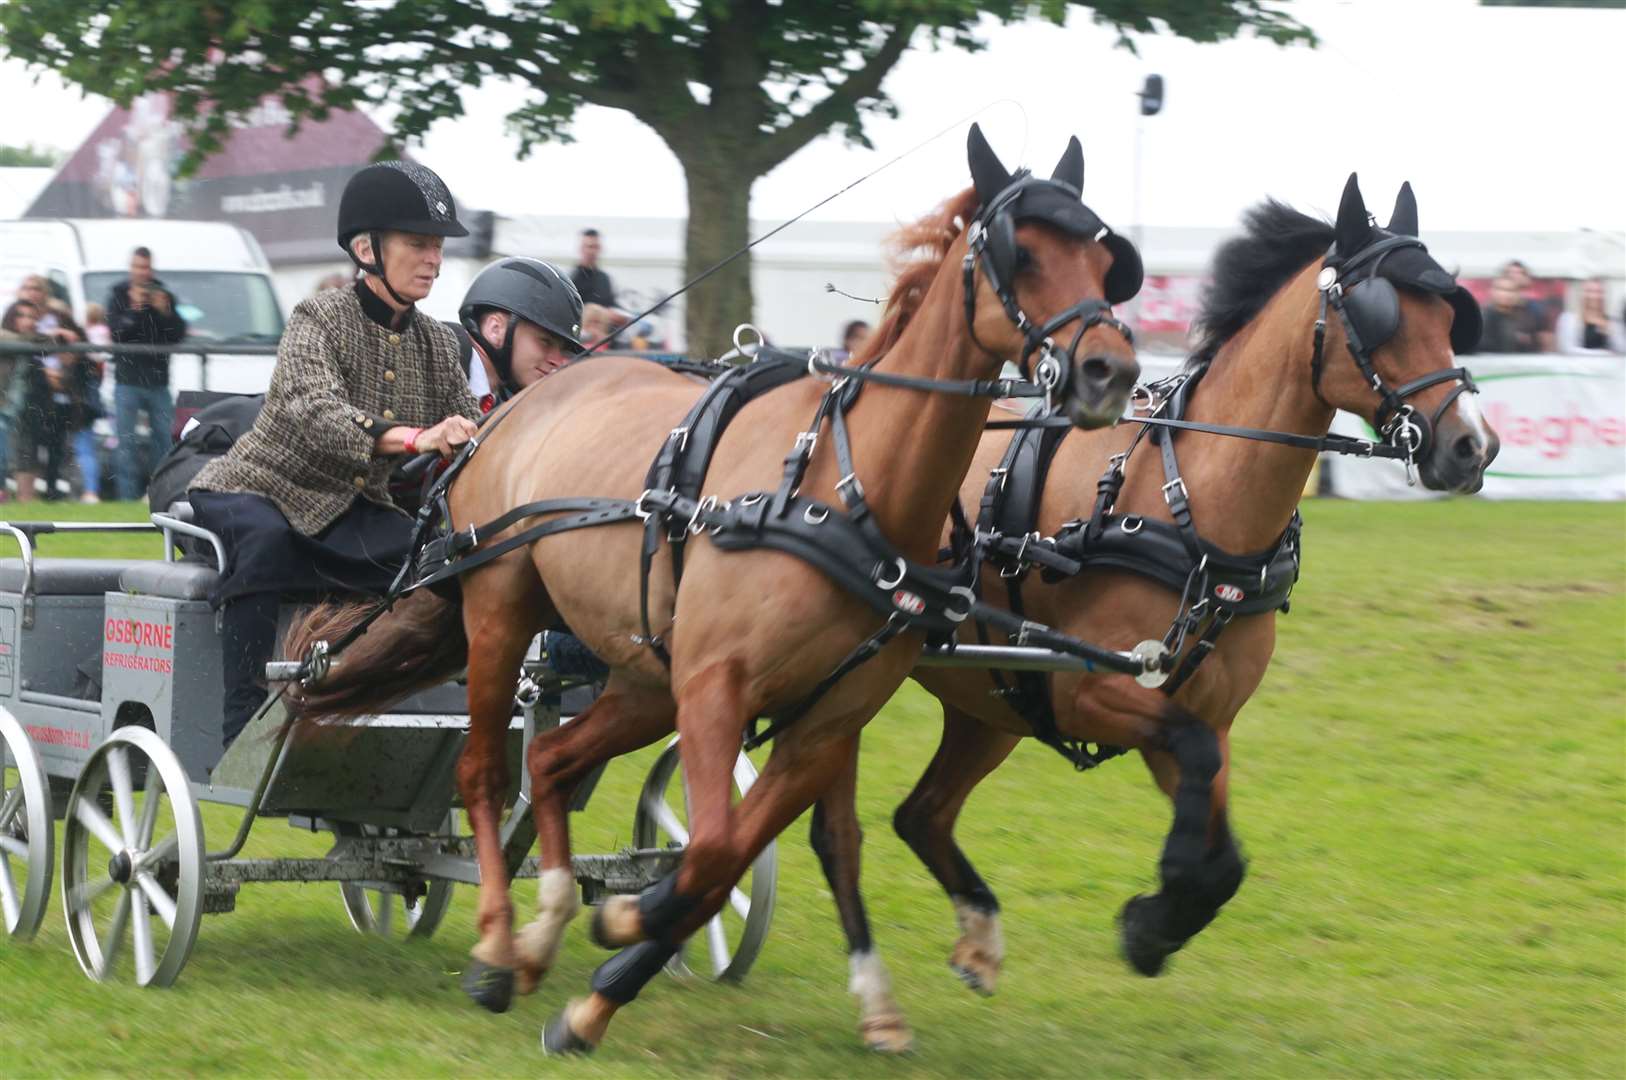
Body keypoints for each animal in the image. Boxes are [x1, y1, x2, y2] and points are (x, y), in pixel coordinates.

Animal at [282, 126, 1144, 1053]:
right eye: (1022, 255)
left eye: (1106, 263)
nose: (1111, 372)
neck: (843, 489)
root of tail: (498, 418)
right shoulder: (715, 687)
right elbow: (710, 851)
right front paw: (618, 936)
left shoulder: (823, 718)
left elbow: (730, 855)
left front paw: (607, 970)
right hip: (504, 611)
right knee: (483, 770)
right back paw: (497, 943)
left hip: (641, 674)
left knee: (548, 759)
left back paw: (544, 928)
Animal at [806, 177, 1502, 1047]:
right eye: (1384, 316)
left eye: (1448, 315)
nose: (1473, 446)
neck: (1192, 506)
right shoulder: (1094, 691)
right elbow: (1197, 794)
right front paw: (1156, 909)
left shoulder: (1201, 708)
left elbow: (1224, 853)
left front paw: (1154, 925)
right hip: (849, 686)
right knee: (836, 831)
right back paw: (873, 998)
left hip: (990, 701)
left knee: (922, 815)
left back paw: (978, 942)